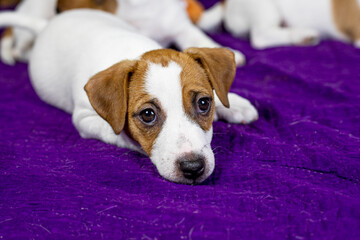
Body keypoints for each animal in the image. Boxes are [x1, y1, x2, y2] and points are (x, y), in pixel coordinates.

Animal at [0, 9, 258, 185]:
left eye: (204, 103)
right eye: (147, 115)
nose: (193, 168)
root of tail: (47, 24)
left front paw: (234, 103)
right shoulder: (84, 119)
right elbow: (118, 133)